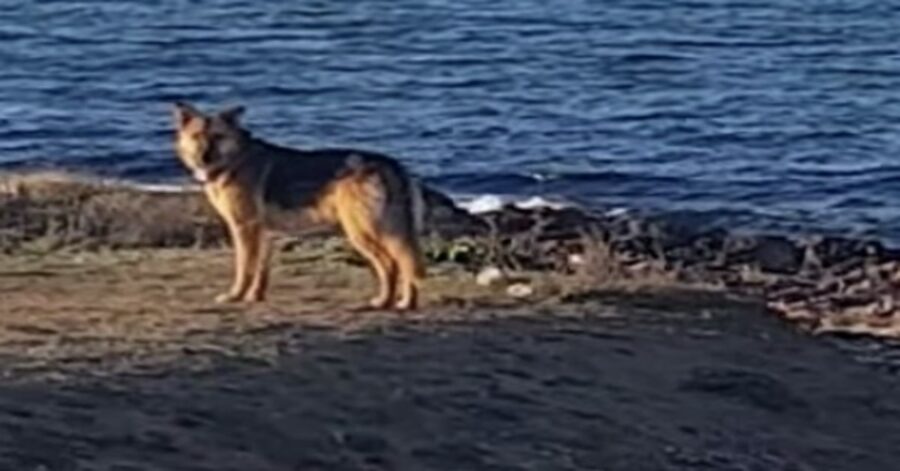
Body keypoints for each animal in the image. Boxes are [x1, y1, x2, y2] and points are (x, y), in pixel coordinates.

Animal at [171, 102, 426, 310]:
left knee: (391, 265)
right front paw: (255, 297)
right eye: (196, 136)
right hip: (390, 233)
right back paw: (407, 303)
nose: (204, 158)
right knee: (406, 265)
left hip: (362, 232)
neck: (236, 158)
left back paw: (384, 302)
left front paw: (236, 296)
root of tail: (390, 165)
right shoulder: (264, 233)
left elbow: (244, 268)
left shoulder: (244, 228)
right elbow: (261, 270)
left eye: (218, 136)